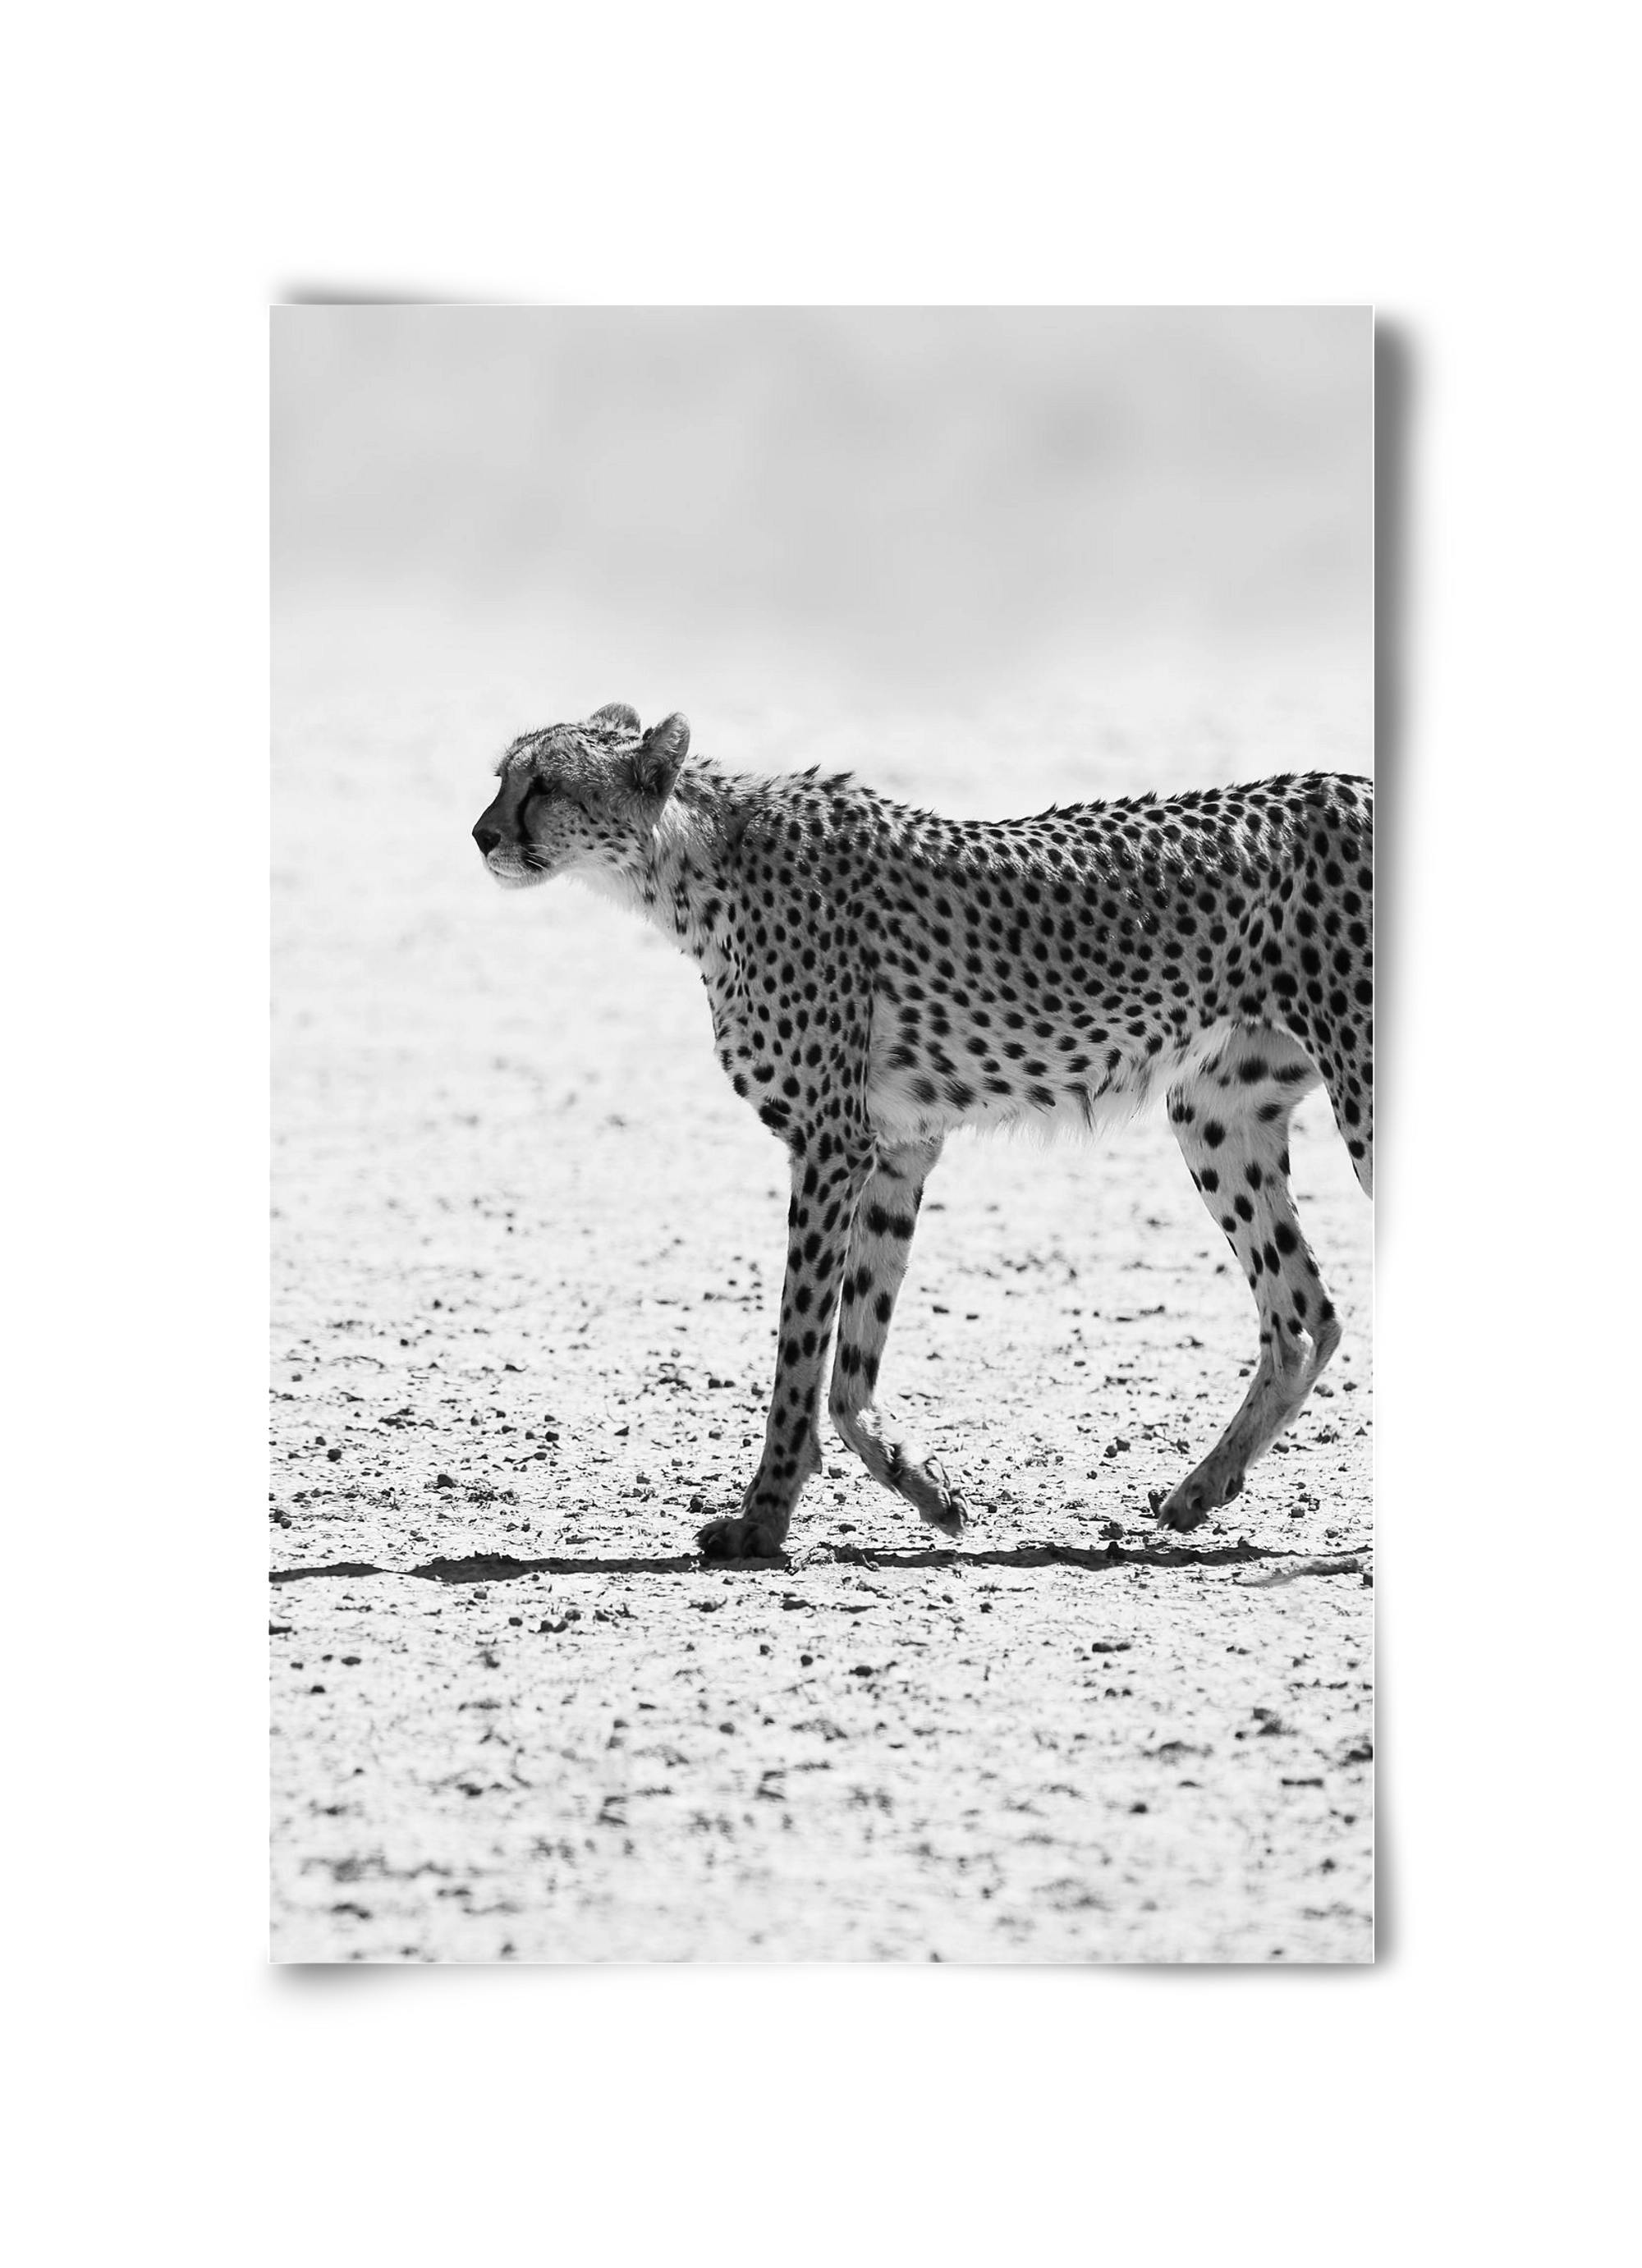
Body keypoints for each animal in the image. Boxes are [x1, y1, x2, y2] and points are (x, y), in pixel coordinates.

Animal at [472, 703, 1373, 1562]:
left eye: (545, 784)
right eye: (502, 776)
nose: (481, 834)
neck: (692, 863)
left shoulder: (830, 1145)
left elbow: (800, 1349)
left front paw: (761, 1519)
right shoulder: (897, 1148)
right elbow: (850, 1364)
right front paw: (926, 1487)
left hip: (1355, 1095)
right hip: (1215, 1112)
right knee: (1302, 1315)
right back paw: (1199, 1489)